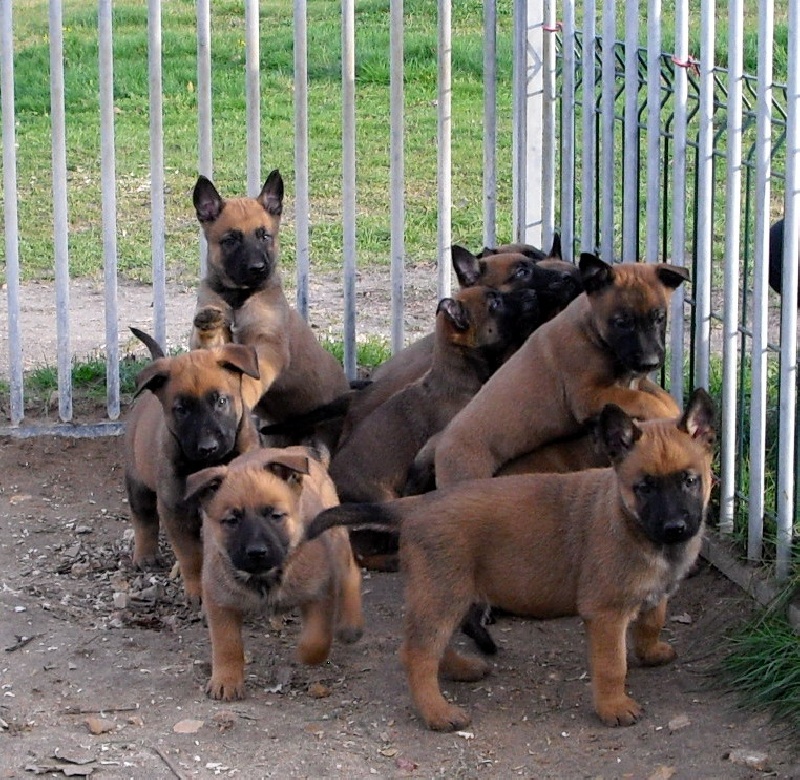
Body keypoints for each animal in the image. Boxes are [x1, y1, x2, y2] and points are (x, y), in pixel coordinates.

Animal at [122, 342, 260, 604]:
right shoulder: (176, 511)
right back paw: (145, 555)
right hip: (138, 483)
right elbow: (190, 556)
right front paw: (197, 591)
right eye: (181, 409)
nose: (208, 448)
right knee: (144, 519)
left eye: (221, 401)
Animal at [184, 444, 362, 700]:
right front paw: (226, 680)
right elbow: (227, 644)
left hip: (336, 539)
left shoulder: (319, 594)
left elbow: (317, 639)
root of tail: (295, 449)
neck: (265, 579)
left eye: (275, 515)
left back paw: (351, 624)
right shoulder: (219, 601)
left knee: (351, 573)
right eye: (232, 520)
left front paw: (304, 654)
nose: (256, 552)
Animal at [306, 388, 720, 732]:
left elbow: (653, 621)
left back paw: (460, 669)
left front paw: (651, 652)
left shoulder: (656, 593)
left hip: (450, 595)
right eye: (644, 487)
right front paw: (614, 707)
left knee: (433, 643)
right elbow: (612, 665)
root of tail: (418, 504)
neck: (629, 519)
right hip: (443, 594)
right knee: (416, 653)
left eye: (689, 480)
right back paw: (437, 713)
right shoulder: (605, 614)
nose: (676, 527)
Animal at [432, 256, 688, 484]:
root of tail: (441, 447)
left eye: (659, 318)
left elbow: (659, 395)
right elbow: (643, 400)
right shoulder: (589, 397)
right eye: (621, 322)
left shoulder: (635, 380)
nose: (650, 362)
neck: (591, 331)